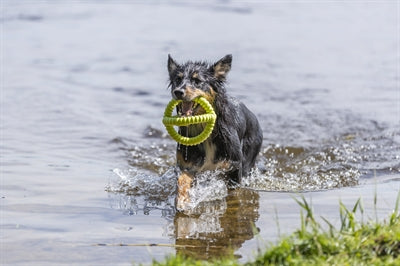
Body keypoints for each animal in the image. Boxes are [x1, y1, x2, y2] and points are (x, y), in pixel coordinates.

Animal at [168, 55, 264, 211]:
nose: (178, 92)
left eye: (197, 81)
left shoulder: (234, 166)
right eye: (178, 79)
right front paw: (182, 201)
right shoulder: (188, 165)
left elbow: (234, 191)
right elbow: (182, 180)